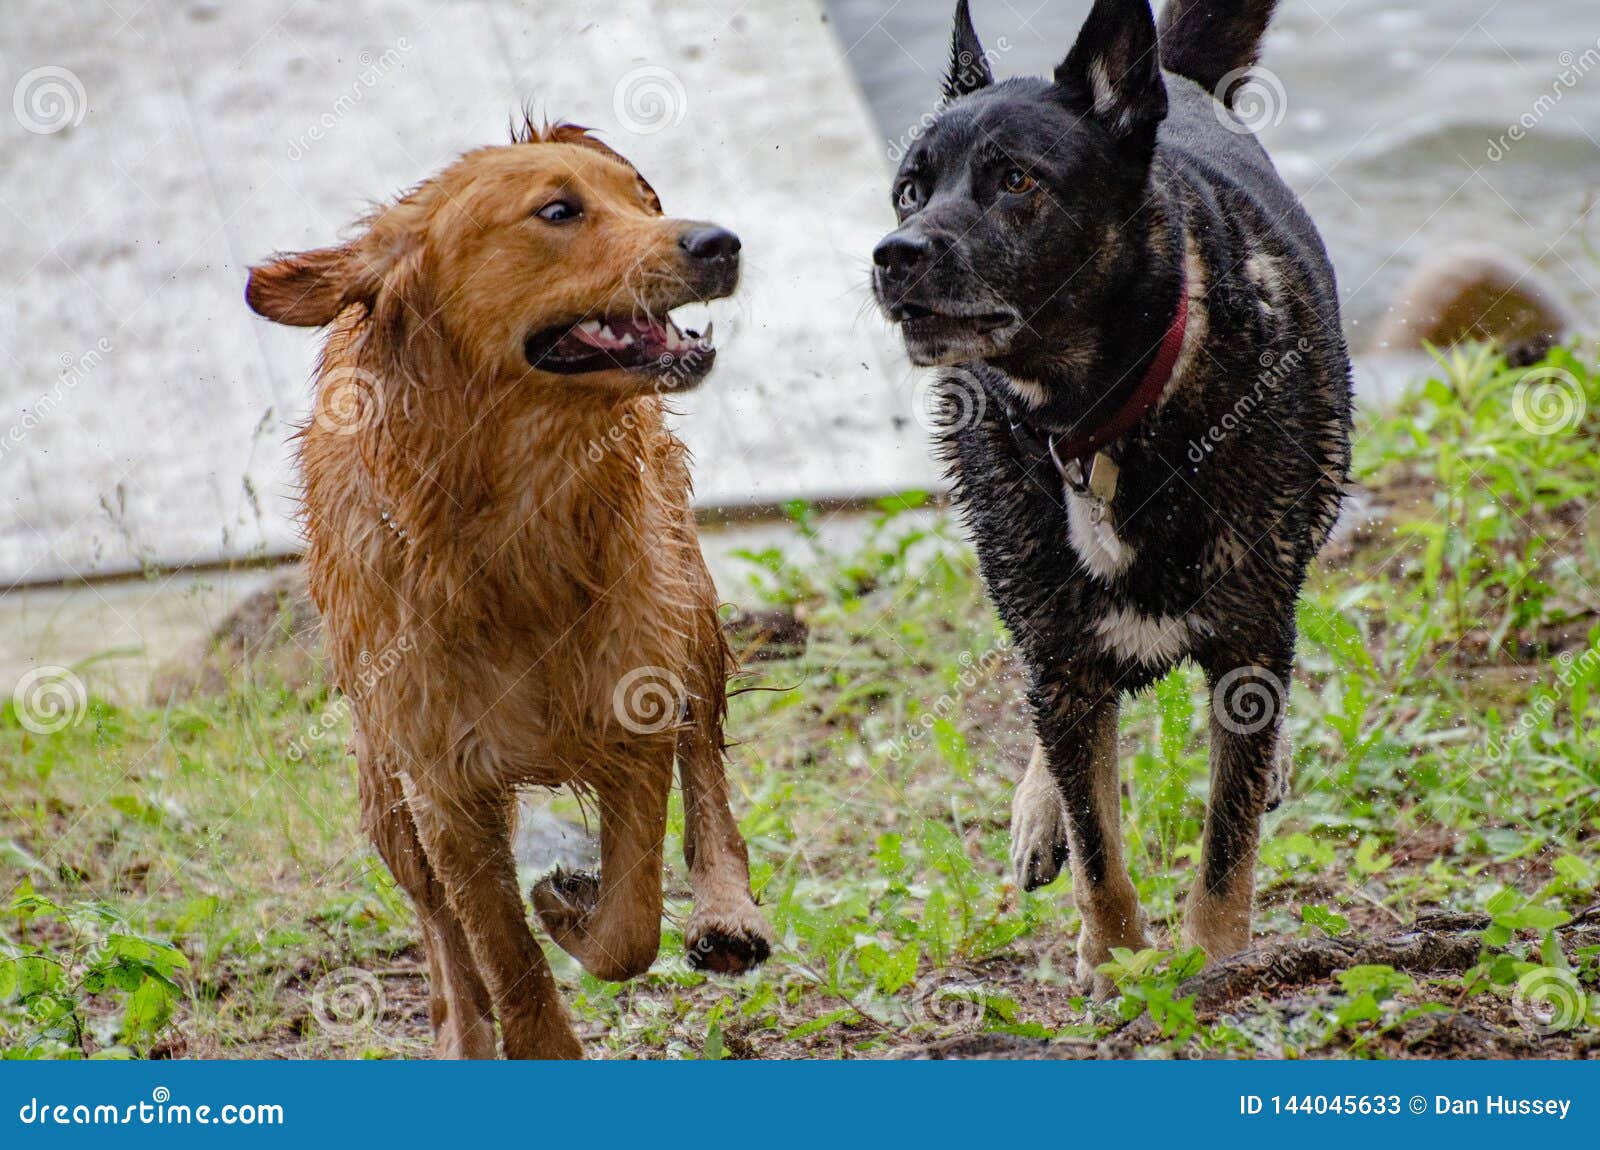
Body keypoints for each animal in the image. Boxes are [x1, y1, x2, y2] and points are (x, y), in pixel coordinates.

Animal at [243, 119, 774, 1062]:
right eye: (558, 211)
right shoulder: (441, 785)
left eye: (644, 200)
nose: (720, 242)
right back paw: (461, 1029)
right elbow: (500, 949)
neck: (512, 524)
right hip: (381, 784)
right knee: (438, 925)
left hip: (688, 602)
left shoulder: (631, 713)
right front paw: (533, 1034)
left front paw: (571, 907)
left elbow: (630, 924)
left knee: (705, 755)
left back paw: (724, 911)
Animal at [876, 0, 1350, 991]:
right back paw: (1041, 805)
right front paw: (1118, 957)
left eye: (1015, 179)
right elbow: (1098, 840)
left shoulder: (1248, 639)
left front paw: (1212, 960)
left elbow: (1226, 838)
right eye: (909, 190)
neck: (1098, 422)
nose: (892, 256)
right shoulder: (1058, 647)